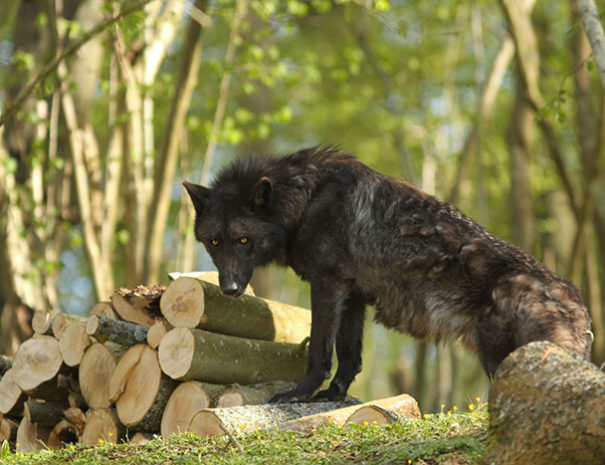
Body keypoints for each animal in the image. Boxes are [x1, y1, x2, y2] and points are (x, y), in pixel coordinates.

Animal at [183, 147, 588, 400]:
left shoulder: (327, 285)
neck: (306, 199)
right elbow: (349, 356)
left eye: (244, 240)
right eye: (215, 242)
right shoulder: (352, 296)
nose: (231, 288)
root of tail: (576, 304)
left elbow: (319, 352)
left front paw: (299, 394)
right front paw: (332, 397)